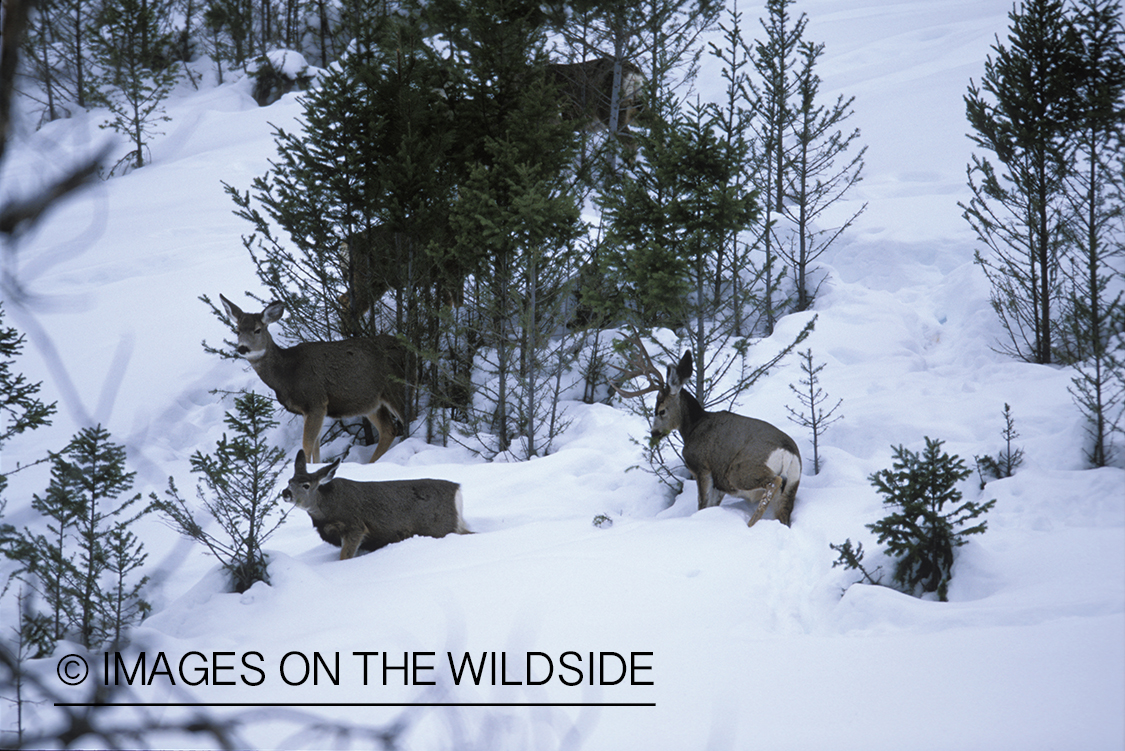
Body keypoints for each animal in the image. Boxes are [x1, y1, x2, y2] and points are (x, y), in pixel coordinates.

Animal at [217, 294, 407, 463]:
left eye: (257, 330)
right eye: (237, 331)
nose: (242, 348)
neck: (287, 374)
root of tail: (403, 345)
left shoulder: (315, 401)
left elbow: (307, 445)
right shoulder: (307, 409)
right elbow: (316, 445)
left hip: (395, 385)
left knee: (407, 419)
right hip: (370, 401)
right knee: (389, 430)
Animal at [285, 449, 474, 559]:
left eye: (306, 485)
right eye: (289, 481)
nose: (285, 493)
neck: (325, 511)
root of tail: (458, 489)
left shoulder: (355, 526)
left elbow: (345, 556)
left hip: (440, 527)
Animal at [616, 328, 801, 528]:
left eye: (661, 410)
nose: (654, 433)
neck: (693, 427)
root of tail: (788, 452)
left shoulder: (702, 467)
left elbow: (702, 504)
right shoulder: (719, 482)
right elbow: (711, 505)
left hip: (740, 470)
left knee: (773, 481)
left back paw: (749, 524)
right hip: (791, 484)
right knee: (783, 514)